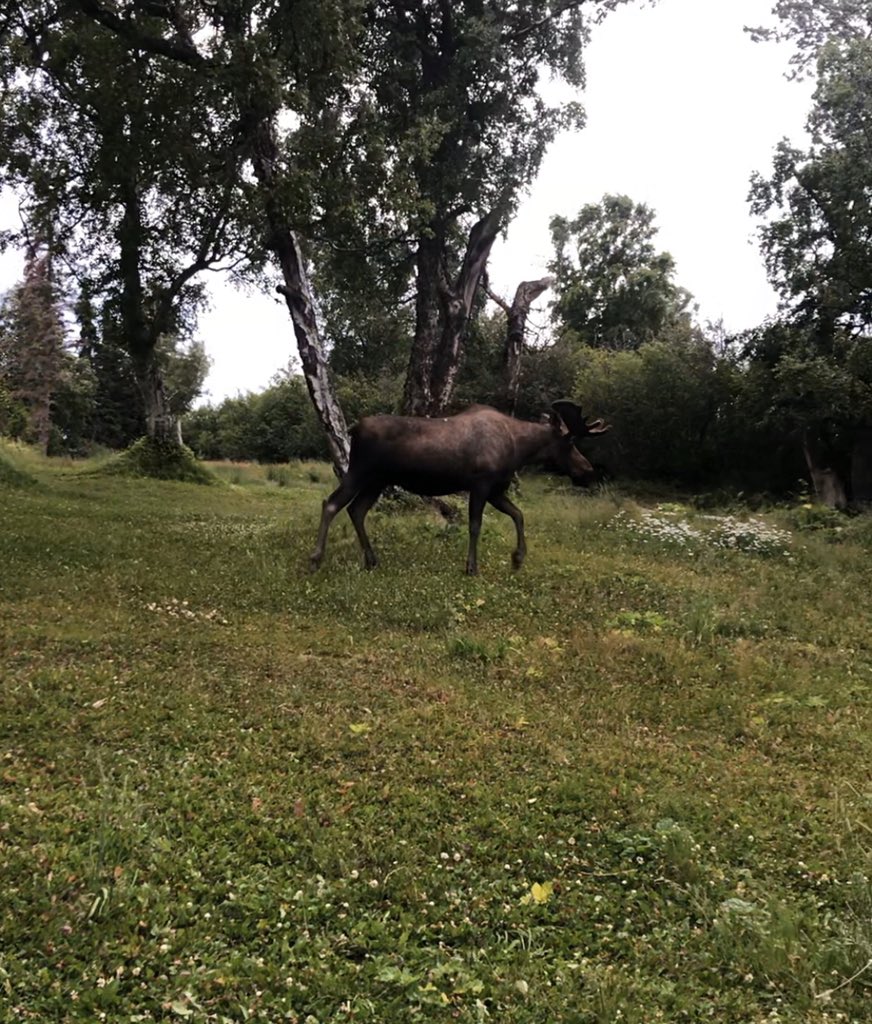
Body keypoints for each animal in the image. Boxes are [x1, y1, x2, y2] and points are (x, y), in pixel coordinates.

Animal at [308, 400, 610, 575]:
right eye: (570, 443)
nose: (588, 472)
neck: (518, 450)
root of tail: (353, 429)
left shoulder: (496, 490)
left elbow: (518, 514)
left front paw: (517, 558)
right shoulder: (481, 483)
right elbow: (475, 525)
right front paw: (471, 567)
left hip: (377, 481)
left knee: (356, 510)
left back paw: (371, 560)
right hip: (360, 471)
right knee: (331, 503)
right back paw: (315, 558)